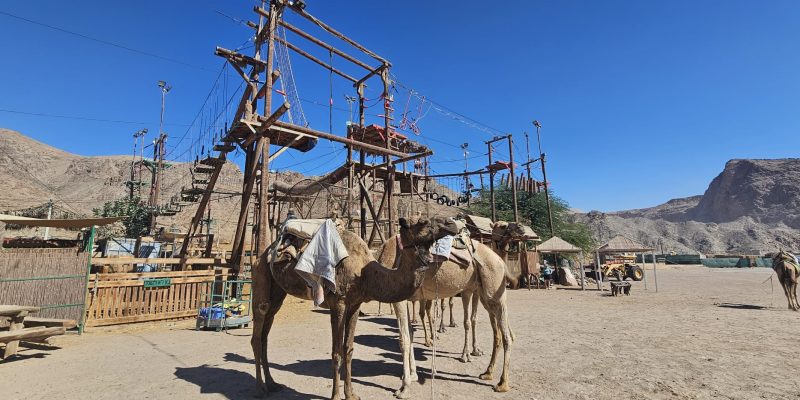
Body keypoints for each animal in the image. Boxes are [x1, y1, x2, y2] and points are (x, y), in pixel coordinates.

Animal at [247, 217, 460, 398]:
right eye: (423, 222)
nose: (452, 224)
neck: (365, 273)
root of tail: (261, 256)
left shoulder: (355, 304)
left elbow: (348, 349)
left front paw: (351, 394)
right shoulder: (338, 303)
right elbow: (336, 352)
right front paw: (335, 396)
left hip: (278, 293)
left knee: (266, 334)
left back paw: (273, 384)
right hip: (260, 278)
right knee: (258, 331)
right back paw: (260, 389)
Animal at [378, 234, 516, 396]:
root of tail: (501, 262)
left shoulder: (399, 299)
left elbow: (403, 339)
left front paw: (404, 387)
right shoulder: (404, 298)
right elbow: (410, 335)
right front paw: (413, 375)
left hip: (493, 290)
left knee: (507, 336)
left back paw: (502, 384)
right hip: (486, 294)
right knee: (499, 334)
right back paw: (487, 373)